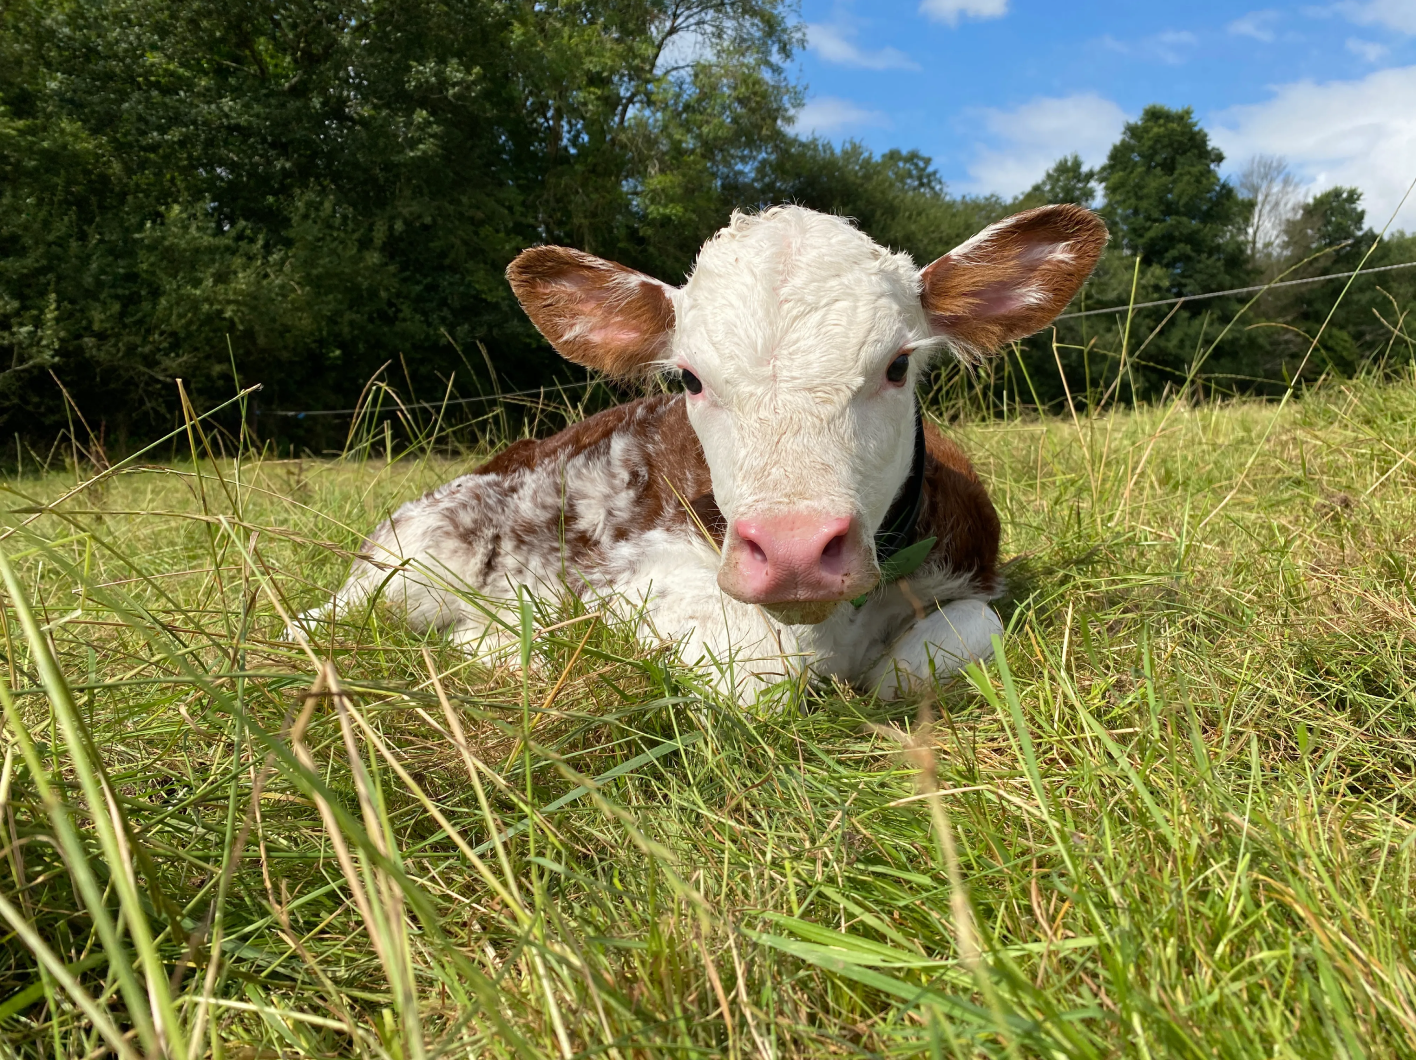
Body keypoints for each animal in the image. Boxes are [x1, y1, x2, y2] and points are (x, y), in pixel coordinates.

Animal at [307, 204, 1107, 701]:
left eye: (897, 365)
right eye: (691, 378)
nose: (792, 549)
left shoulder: (974, 575)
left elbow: (952, 644)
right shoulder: (636, 578)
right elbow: (760, 674)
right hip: (406, 563)